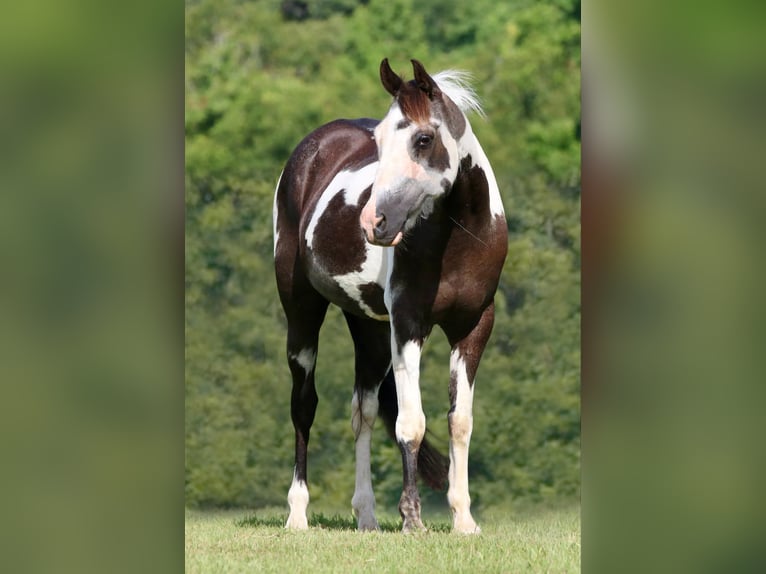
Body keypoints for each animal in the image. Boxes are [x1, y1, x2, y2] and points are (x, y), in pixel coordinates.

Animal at [273, 58, 507, 534]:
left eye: (423, 138)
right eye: (379, 142)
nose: (373, 223)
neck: (460, 239)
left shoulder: (474, 326)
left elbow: (460, 421)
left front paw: (463, 519)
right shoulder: (409, 325)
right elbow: (410, 423)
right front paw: (412, 519)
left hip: (370, 329)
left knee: (361, 410)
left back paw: (367, 517)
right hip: (302, 312)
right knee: (303, 405)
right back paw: (298, 514)